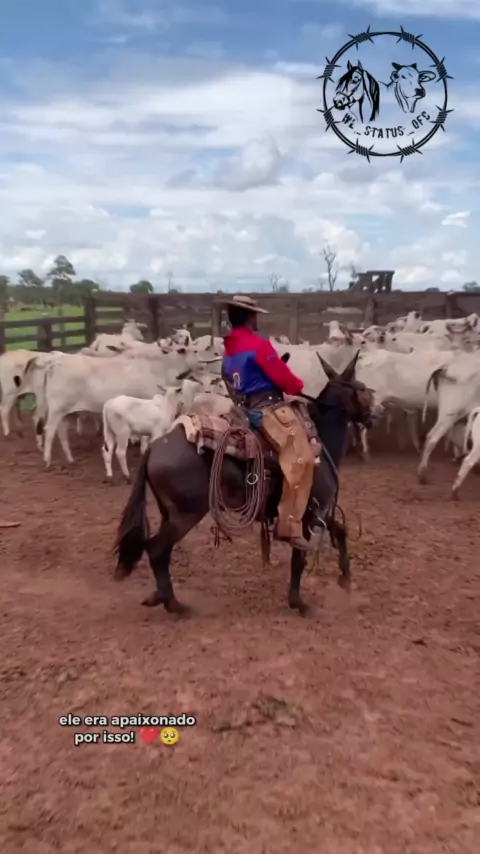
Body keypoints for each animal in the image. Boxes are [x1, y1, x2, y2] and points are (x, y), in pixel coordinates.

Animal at [113, 351, 380, 617]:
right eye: (361, 387)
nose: (376, 415)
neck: (320, 441)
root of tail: (156, 447)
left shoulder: (317, 511)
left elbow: (340, 532)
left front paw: (345, 580)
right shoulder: (307, 513)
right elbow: (299, 558)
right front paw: (299, 602)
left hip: (169, 513)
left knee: (160, 550)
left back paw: (161, 596)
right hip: (185, 515)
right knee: (157, 549)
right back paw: (174, 604)